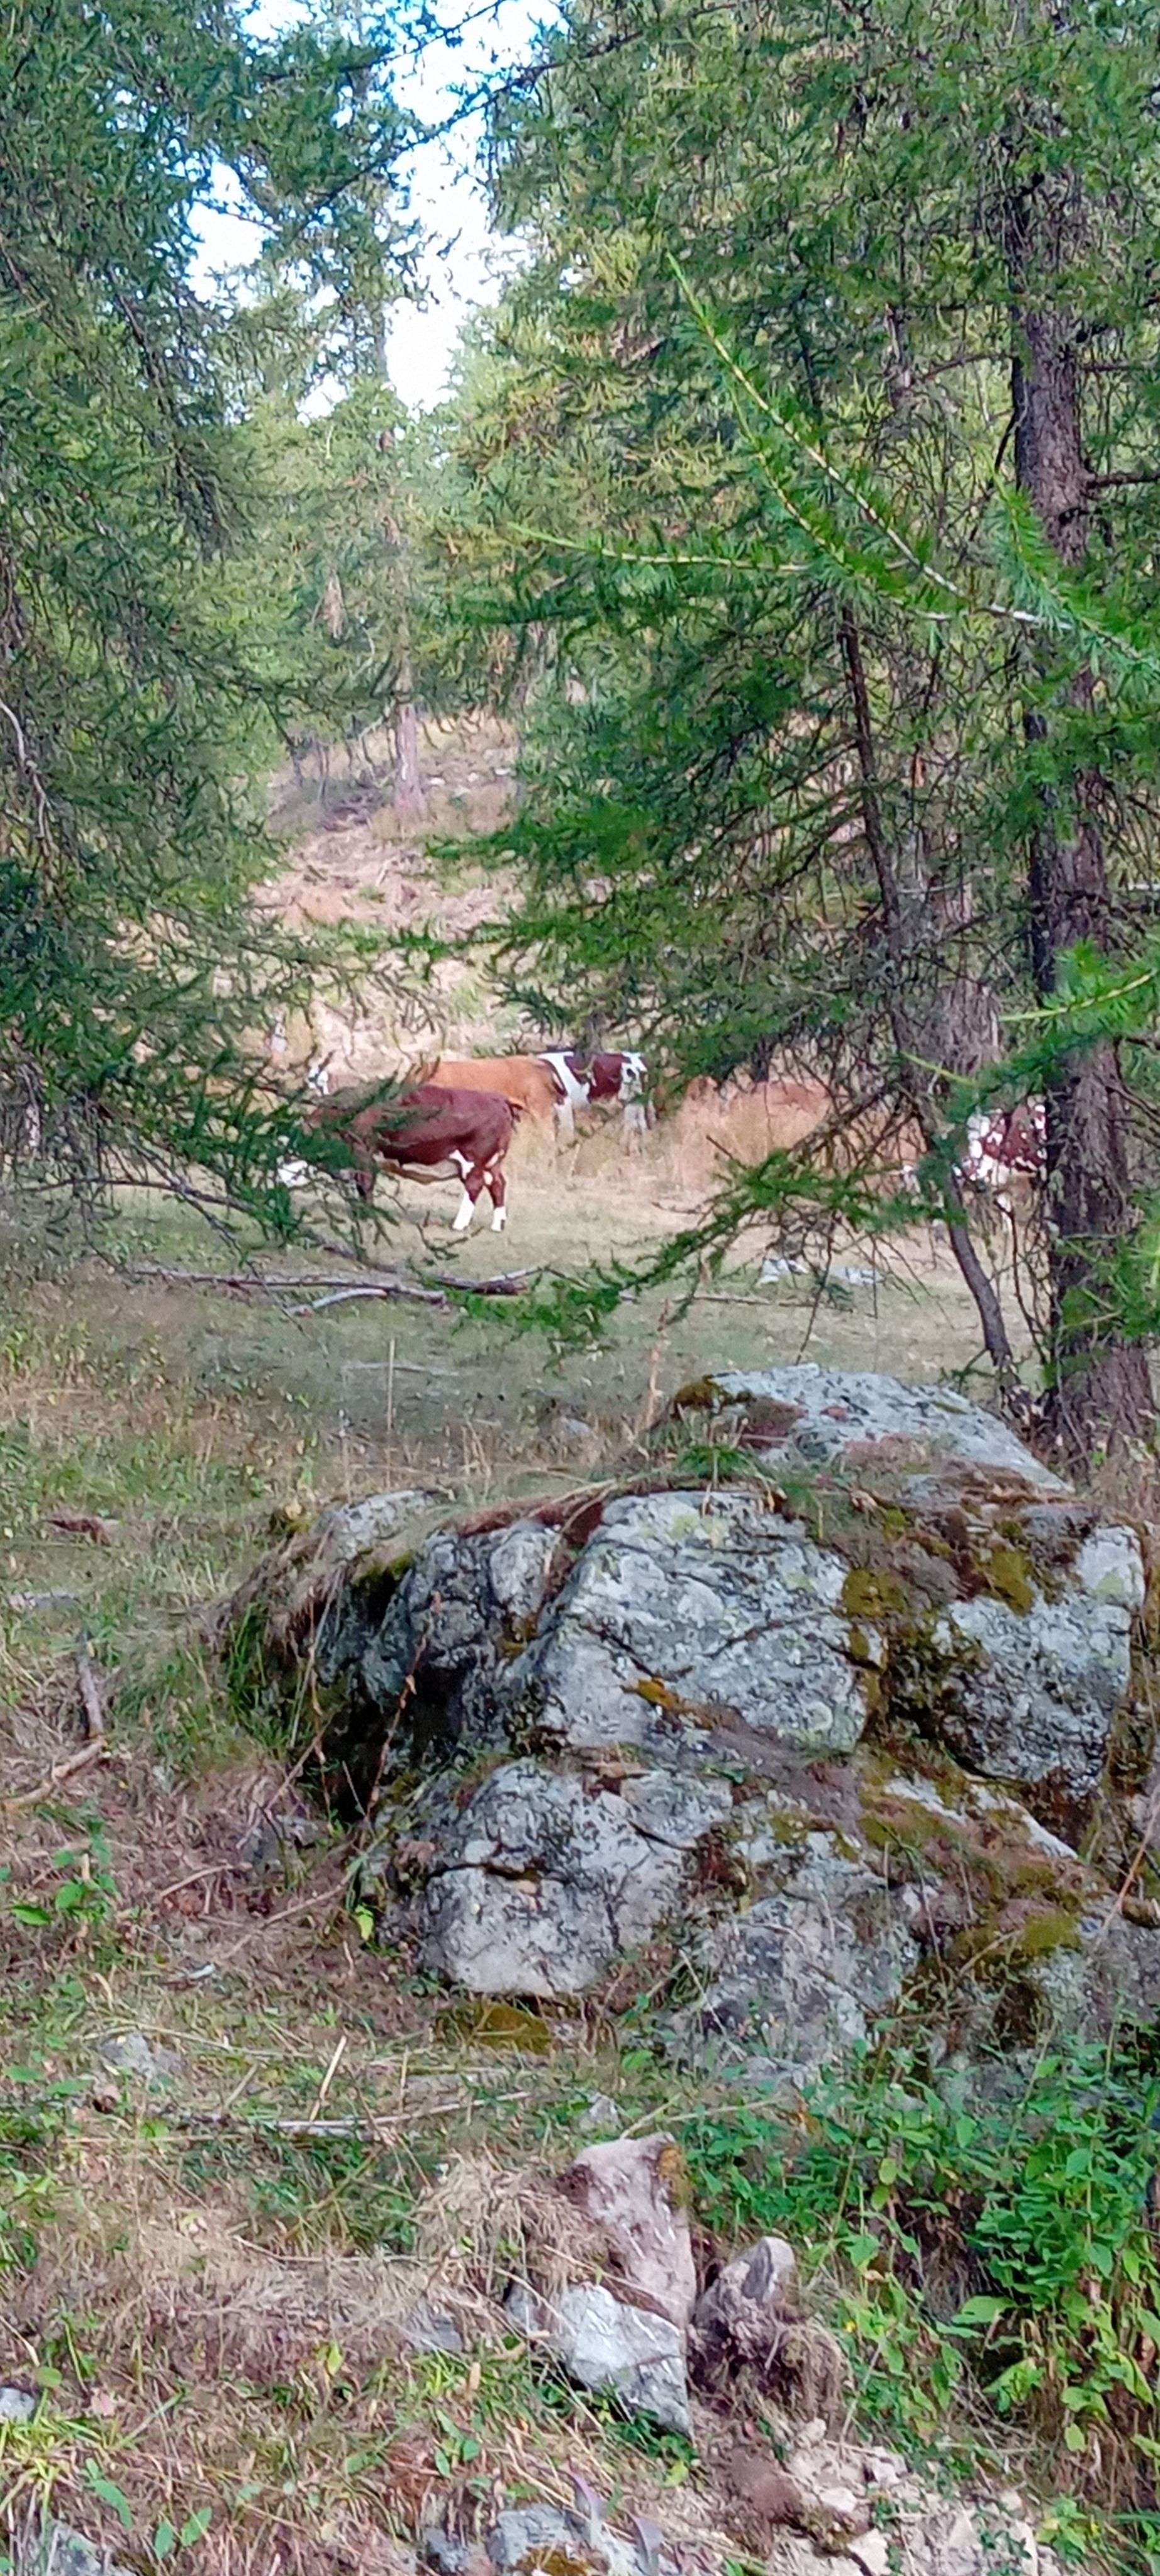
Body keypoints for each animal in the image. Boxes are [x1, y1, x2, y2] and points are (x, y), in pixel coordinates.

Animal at [299, 1082, 519, 1232]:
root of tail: (498, 1099)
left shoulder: (363, 1151)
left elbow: (365, 1183)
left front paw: (366, 1215)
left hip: (474, 1160)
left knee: (475, 1185)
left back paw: (459, 1225)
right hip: (492, 1163)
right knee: (498, 1184)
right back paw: (497, 1225)